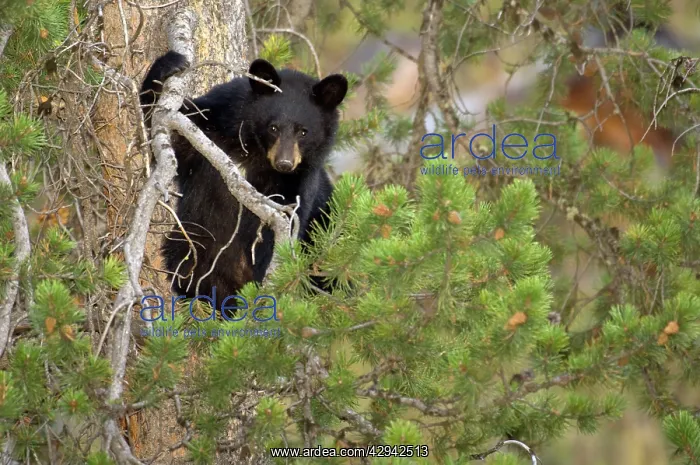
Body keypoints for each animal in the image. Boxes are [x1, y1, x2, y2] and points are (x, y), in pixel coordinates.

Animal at [139, 50, 348, 315]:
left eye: (304, 131)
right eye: (273, 127)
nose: (284, 163)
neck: (255, 152)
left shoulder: (299, 184)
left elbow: (286, 224)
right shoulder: (211, 129)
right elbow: (169, 127)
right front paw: (169, 65)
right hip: (196, 242)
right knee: (186, 262)